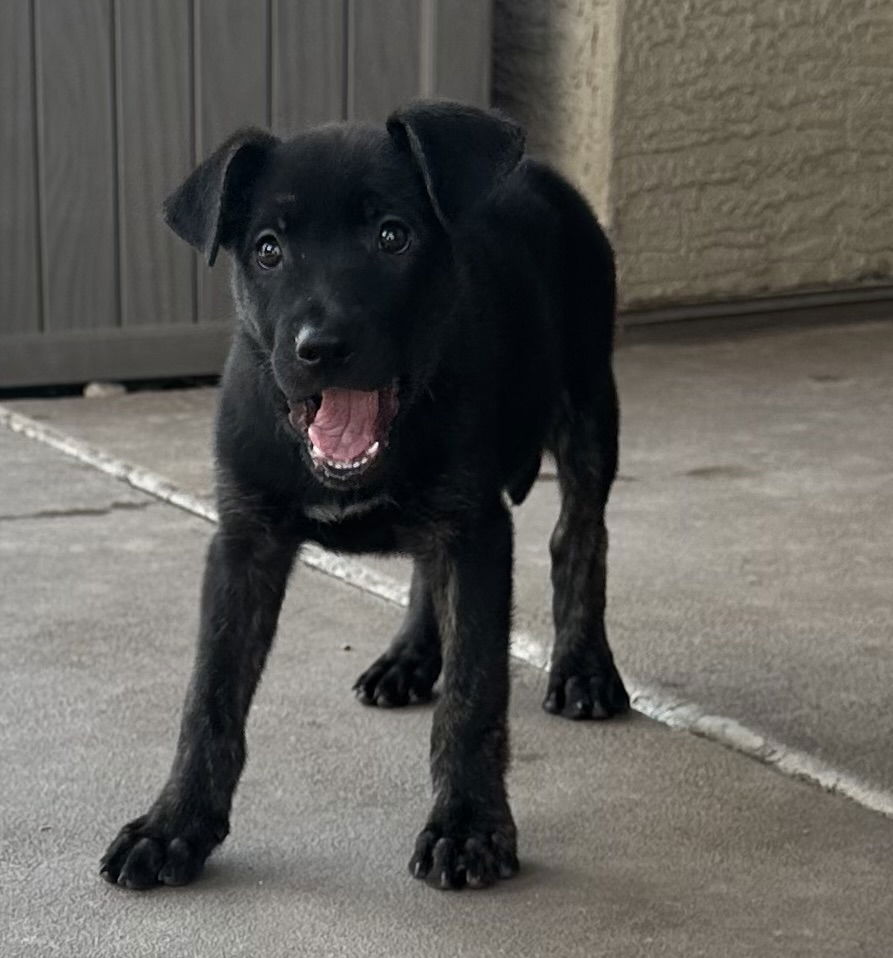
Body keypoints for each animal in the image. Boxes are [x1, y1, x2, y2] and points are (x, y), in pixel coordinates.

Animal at [99, 99, 628, 892]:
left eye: (392, 235)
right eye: (267, 250)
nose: (321, 348)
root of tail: (539, 170)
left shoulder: (474, 534)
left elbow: (474, 693)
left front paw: (468, 826)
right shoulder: (244, 543)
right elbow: (209, 695)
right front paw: (173, 825)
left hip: (590, 399)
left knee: (580, 536)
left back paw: (584, 667)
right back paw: (407, 657)